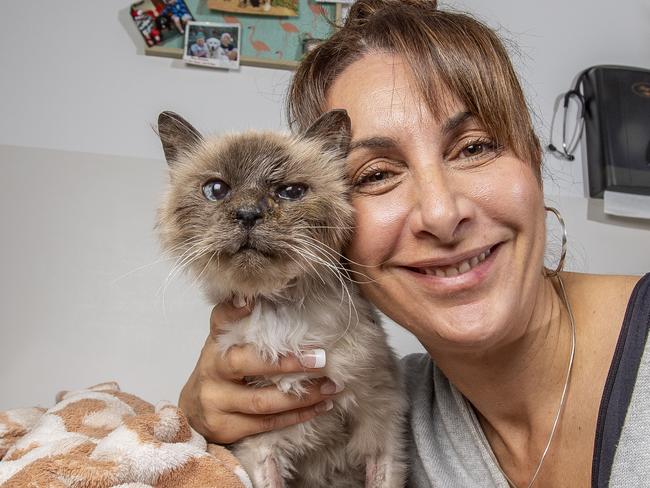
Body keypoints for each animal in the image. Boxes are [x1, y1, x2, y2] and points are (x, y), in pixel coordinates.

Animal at [156, 110, 404, 488]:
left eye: (290, 192)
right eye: (216, 190)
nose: (247, 214)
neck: (282, 312)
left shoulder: (380, 424)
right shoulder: (262, 445)